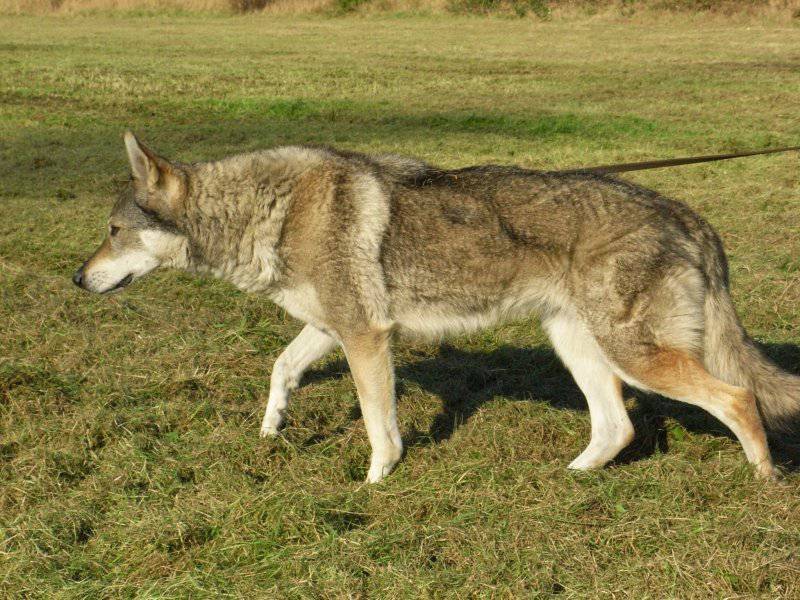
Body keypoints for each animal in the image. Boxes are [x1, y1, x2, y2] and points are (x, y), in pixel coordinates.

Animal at [72, 132, 796, 482]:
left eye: (112, 231)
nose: (78, 279)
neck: (270, 211)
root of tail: (686, 214)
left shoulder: (366, 336)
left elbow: (377, 423)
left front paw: (375, 481)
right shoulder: (331, 328)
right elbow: (280, 370)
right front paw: (273, 428)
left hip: (634, 355)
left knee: (737, 398)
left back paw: (763, 479)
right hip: (580, 348)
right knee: (616, 428)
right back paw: (569, 477)